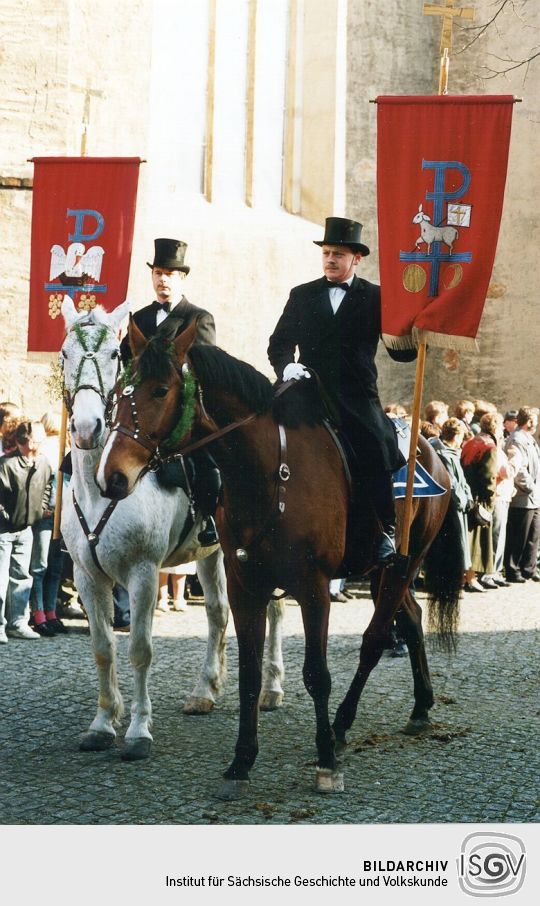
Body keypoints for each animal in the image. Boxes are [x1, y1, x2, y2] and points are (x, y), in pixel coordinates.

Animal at [98, 320, 464, 800]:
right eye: (119, 391)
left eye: (160, 390)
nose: (111, 476)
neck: (265, 471)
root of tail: (433, 450)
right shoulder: (244, 587)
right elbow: (250, 675)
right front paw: (241, 762)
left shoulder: (314, 589)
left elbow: (317, 674)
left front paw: (326, 763)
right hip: (383, 571)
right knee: (413, 620)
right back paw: (420, 708)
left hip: (404, 561)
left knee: (374, 641)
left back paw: (342, 726)